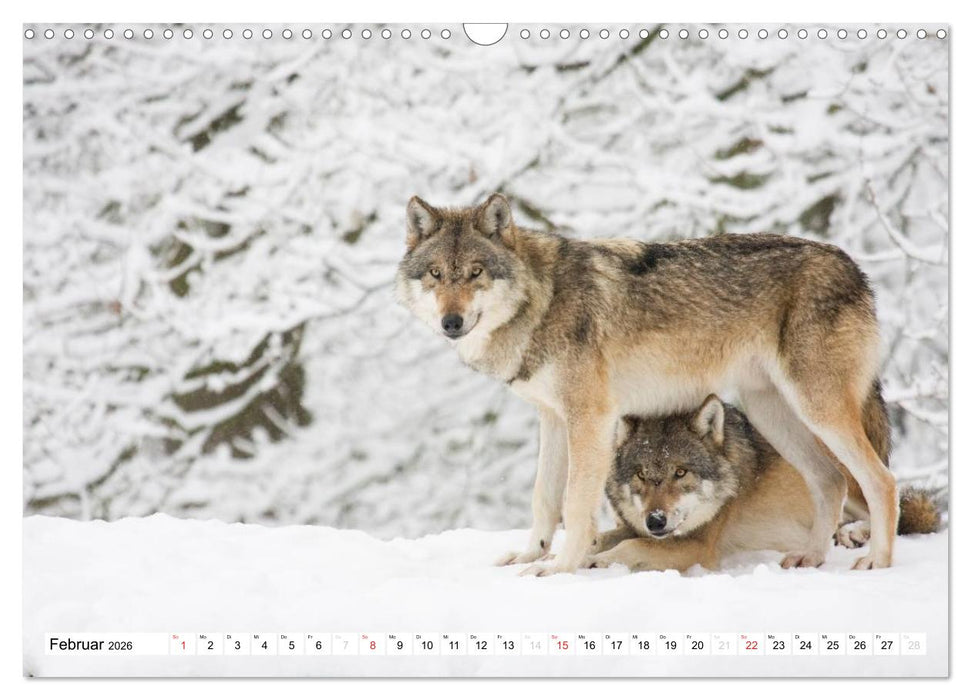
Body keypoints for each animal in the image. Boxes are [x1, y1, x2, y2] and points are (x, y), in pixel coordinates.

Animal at [396, 193, 900, 574]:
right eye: (436, 274)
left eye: (475, 272)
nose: (451, 322)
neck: (542, 300)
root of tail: (854, 267)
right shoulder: (553, 419)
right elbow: (544, 499)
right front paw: (530, 555)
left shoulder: (591, 419)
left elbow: (576, 507)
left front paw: (561, 569)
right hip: (770, 412)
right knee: (831, 480)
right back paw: (811, 557)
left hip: (817, 408)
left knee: (881, 480)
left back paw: (877, 560)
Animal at [588, 395, 939, 572]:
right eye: (641, 475)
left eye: (681, 472)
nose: (656, 520)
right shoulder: (636, 527)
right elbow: (603, 538)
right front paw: (582, 552)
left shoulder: (697, 546)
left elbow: (631, 546)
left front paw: (597, 561)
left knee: (890, 504)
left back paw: (855, 536)